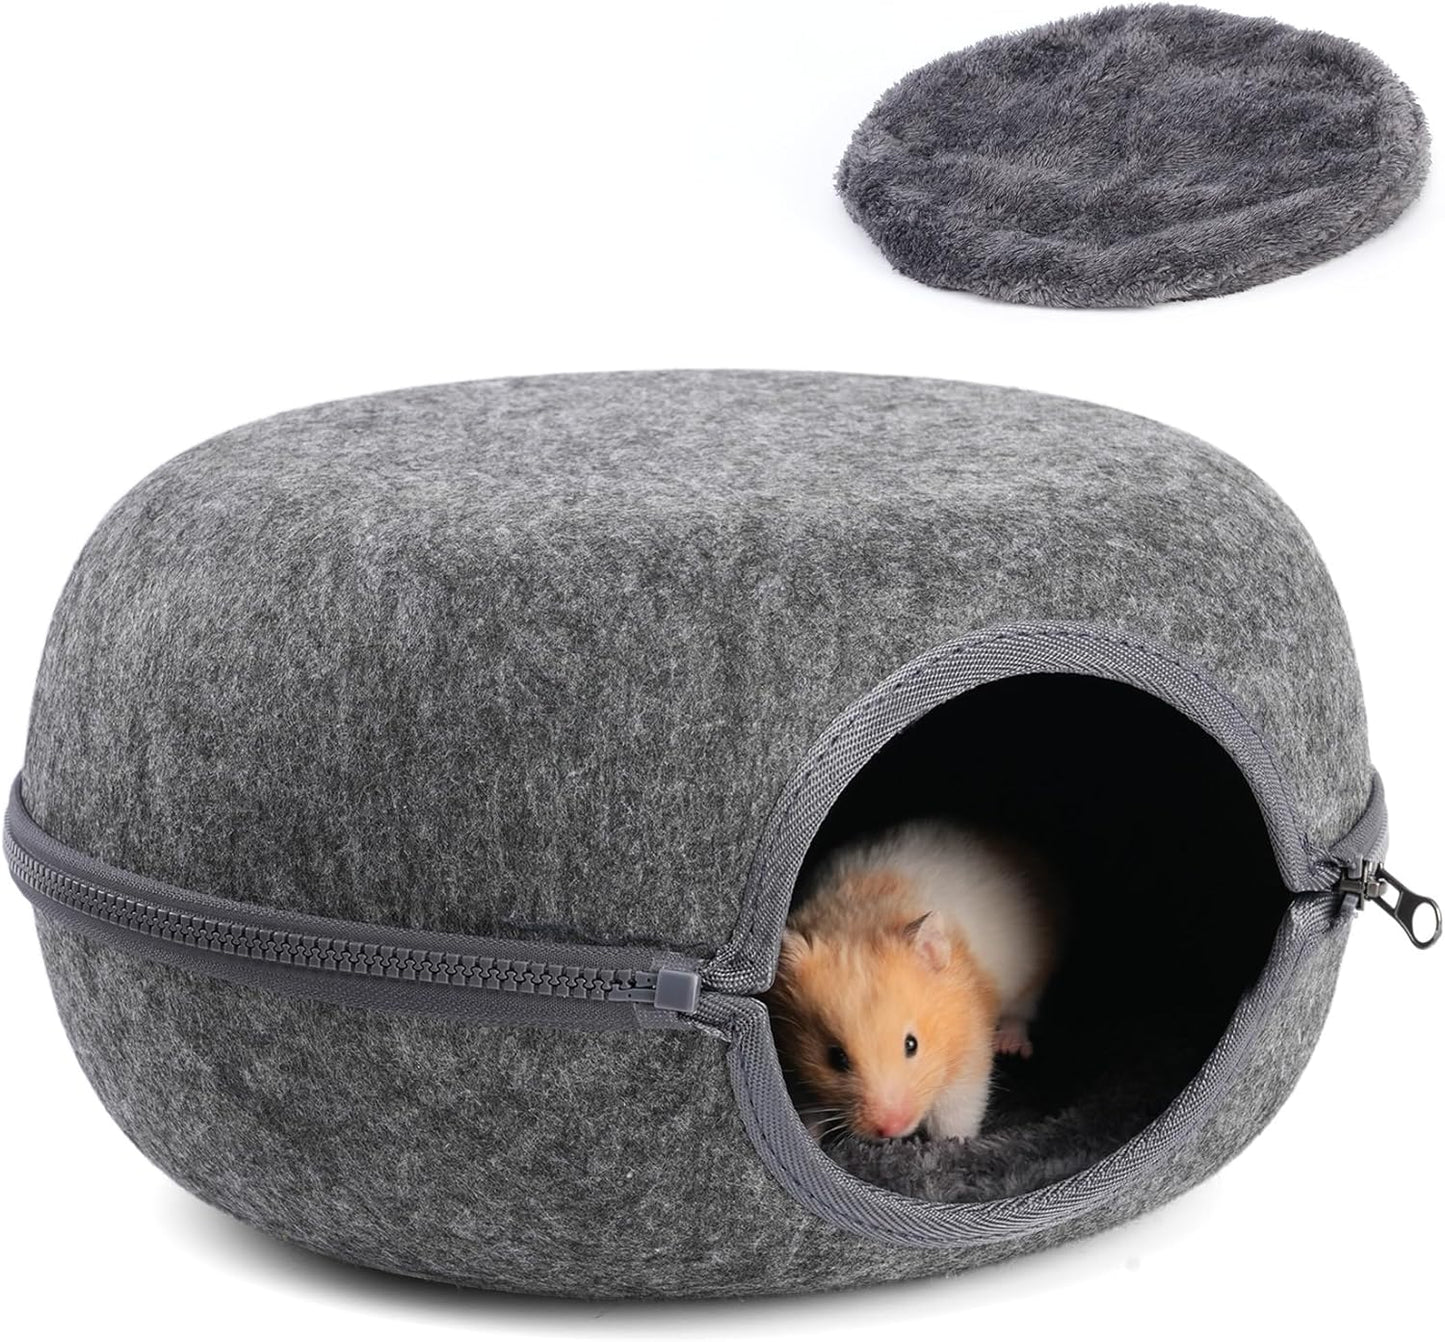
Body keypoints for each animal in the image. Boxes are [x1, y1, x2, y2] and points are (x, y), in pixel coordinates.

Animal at [765, 820, 1061, 1144]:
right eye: (835, 1057)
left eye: (912, 1044)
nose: (892, 1129)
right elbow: (807, 1109)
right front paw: (806, 1137)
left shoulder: (969, 1051)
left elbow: (956, 1111)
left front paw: (953, 1144)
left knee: (1021, 1013)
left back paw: (1011, 1045)